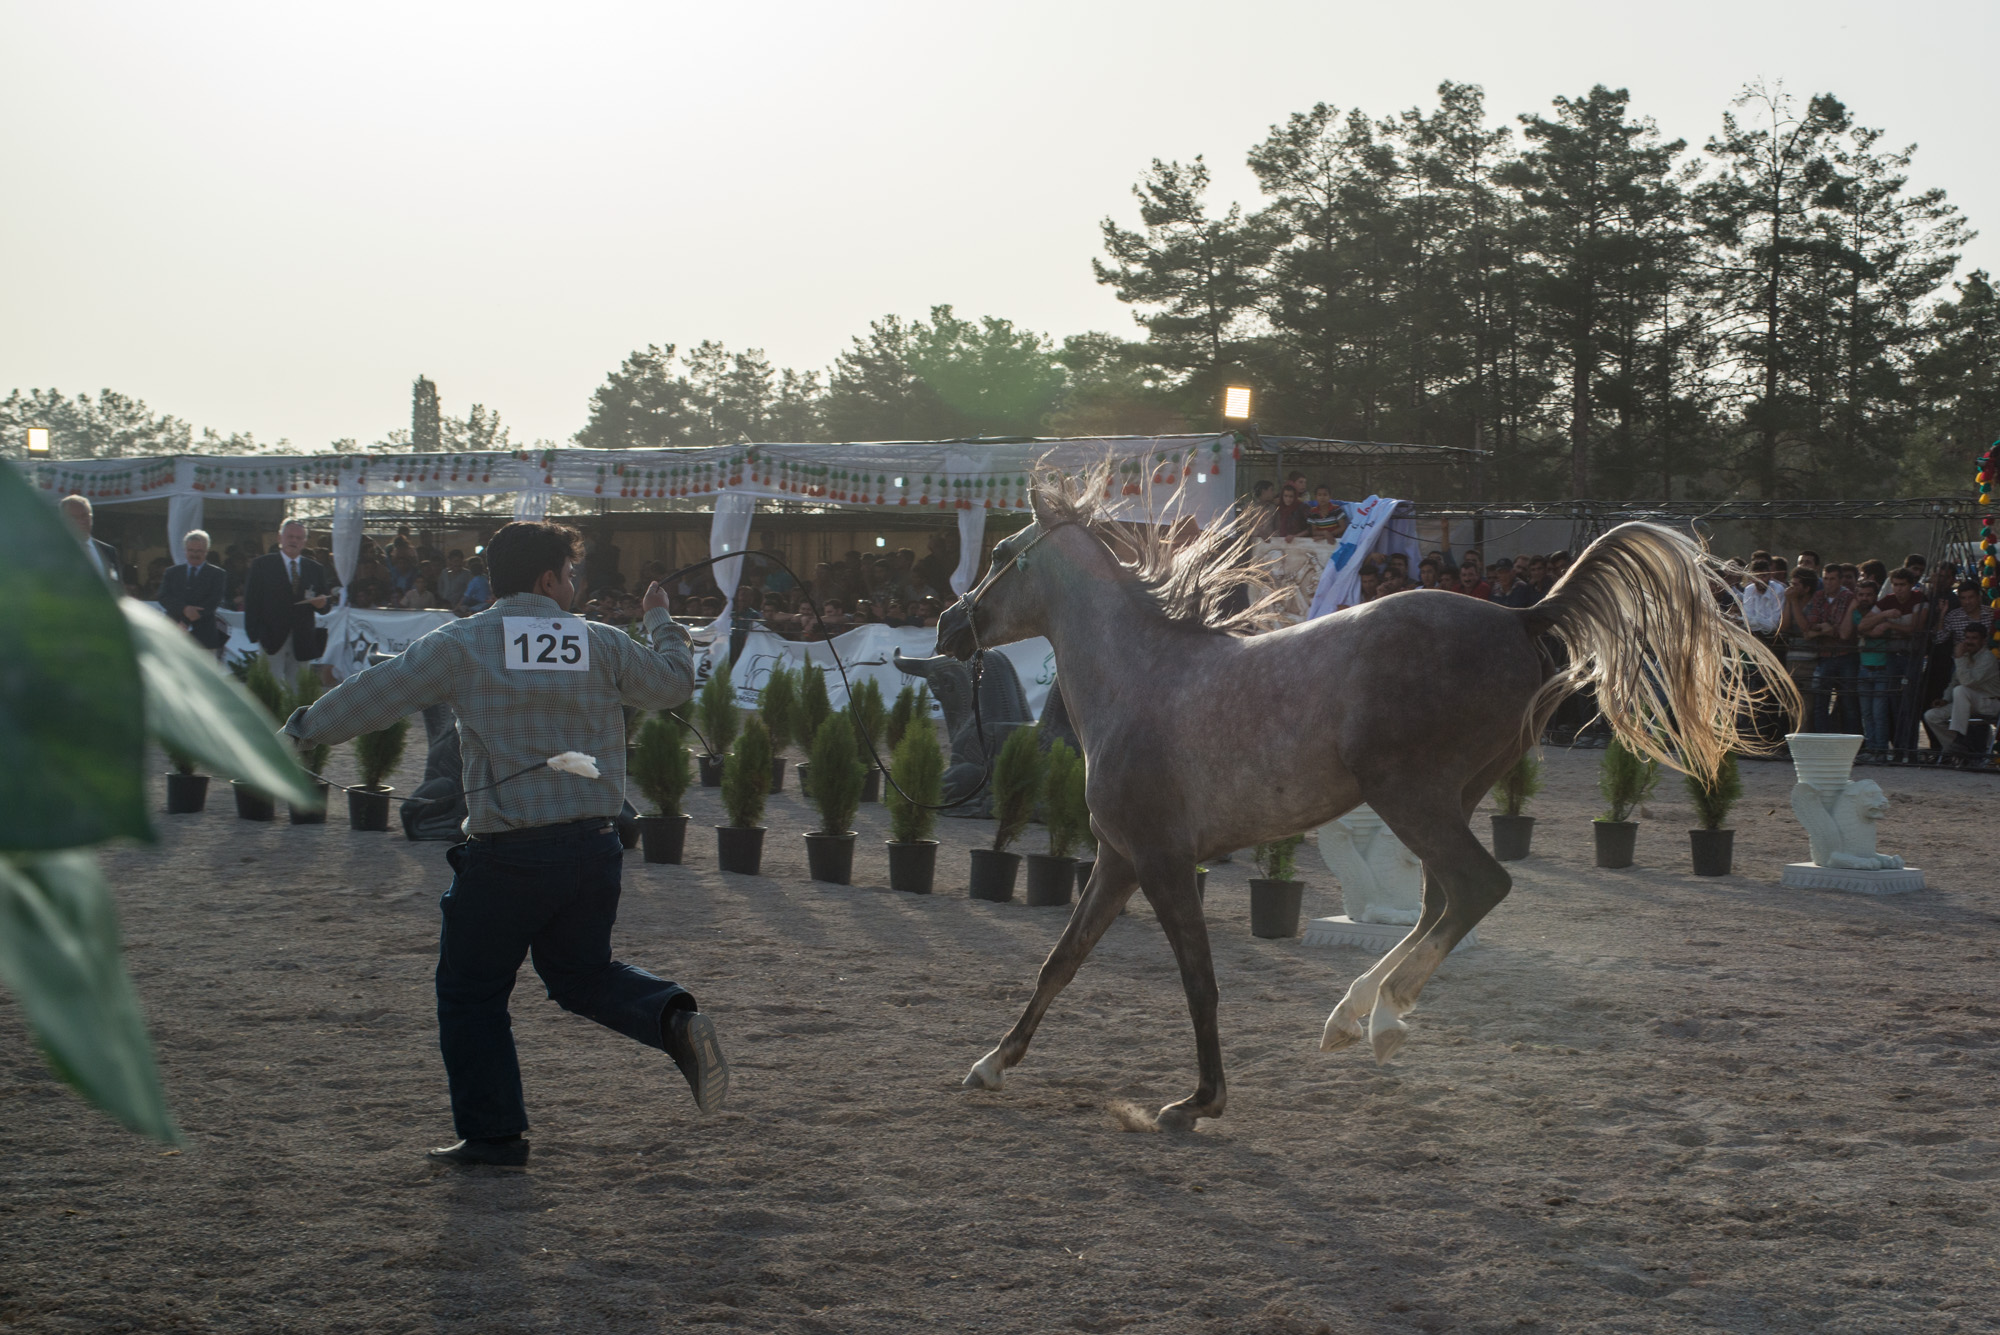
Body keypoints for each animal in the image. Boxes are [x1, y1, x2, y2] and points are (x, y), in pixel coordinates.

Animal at [936, 469, 1800, 1127]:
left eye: (1004, 553)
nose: (948, 625)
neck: (1141, 679)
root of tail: (1523, 614)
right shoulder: (1118, 859)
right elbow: (1060, 961)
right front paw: (990, 1063)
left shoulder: (1162, 861)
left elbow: (1198, 980)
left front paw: (1198, 1101)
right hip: (1450, 794)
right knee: (1440, 899)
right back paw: (1357, 1014)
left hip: (1409, 793)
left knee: (1477, 885)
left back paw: (1383, 1016)